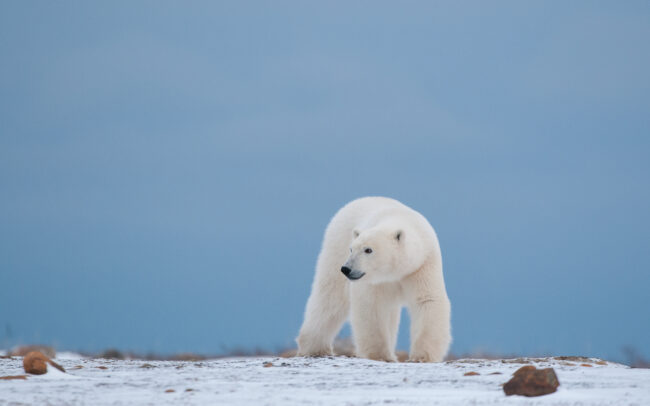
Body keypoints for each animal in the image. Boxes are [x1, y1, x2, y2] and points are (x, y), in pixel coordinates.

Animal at [296, 196, 451, 362]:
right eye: (352, 249)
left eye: (368, 250)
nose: (346, 268)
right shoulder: (375, 280)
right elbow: (371, 305)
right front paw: (381, 355)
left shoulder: (421, 265)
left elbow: (427, 300)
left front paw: (421, 357)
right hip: (336, 248)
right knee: (330, 299)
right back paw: (315, 348)